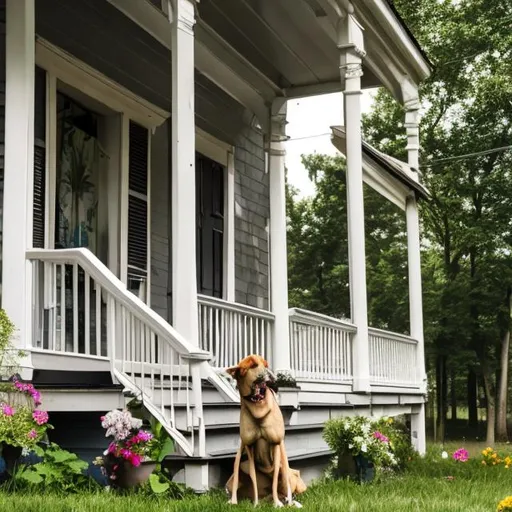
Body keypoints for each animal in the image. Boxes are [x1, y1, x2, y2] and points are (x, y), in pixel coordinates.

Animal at [224, 356, 304, 508]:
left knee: (286, 488)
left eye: (266, 364)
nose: (270, 371)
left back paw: (289, 501)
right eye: (253, 365)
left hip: (287, 472)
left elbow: (275, 480)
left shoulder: (276, 444)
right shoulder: (249, 447)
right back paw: (235, 501)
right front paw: (255, 504)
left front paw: (277, 504)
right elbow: (253, 478)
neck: (258, 407)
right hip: (238, 466)